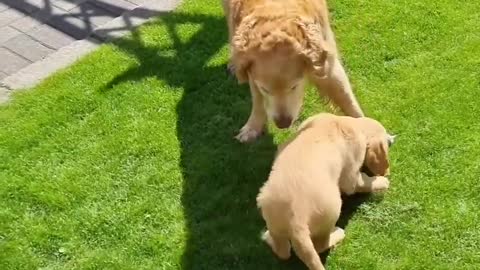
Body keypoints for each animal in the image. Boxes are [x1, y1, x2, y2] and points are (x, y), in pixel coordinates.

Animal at [223, 0, 366, 142]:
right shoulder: (254, 78)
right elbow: (258, 101)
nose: (283, 124)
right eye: (266, 90)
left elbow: (347, 99)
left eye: (294, 86)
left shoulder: (328, 66)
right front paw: (252, 128)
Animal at [255, 114, 394, 270]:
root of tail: (296, 220)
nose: (392, 139)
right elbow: (363, 182)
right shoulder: (351, 176)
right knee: (319, 245)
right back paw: (338, 233)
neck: (347, 124)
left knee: (283, 252)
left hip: (271, 217)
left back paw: (267, 237)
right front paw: (382, 181)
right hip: (331, 213)